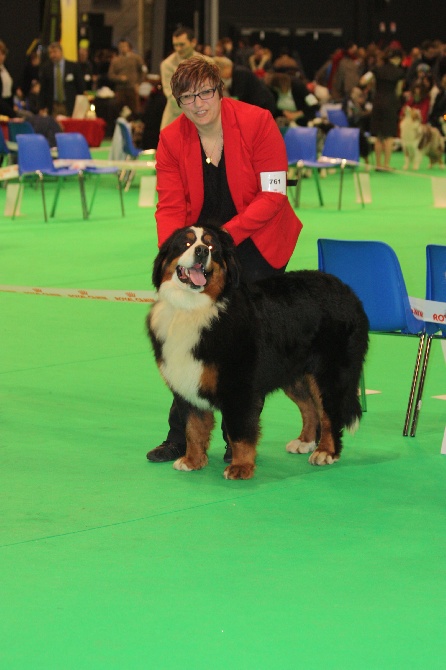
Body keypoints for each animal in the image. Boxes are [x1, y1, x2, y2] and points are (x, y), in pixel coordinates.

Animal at [147, 228, 370, 480]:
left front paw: (240, 467)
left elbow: (240, 432)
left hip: (329, 371)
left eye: (212, 247)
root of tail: (347, 290)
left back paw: (326, 452)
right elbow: (193, 427)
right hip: (293, 372)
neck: (193, 308)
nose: (202, 251)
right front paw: (192, 460)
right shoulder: (187, 379)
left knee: (330, 412)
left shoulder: (239, 387)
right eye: (185, 243)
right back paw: (304, 441)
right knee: (310, 407)